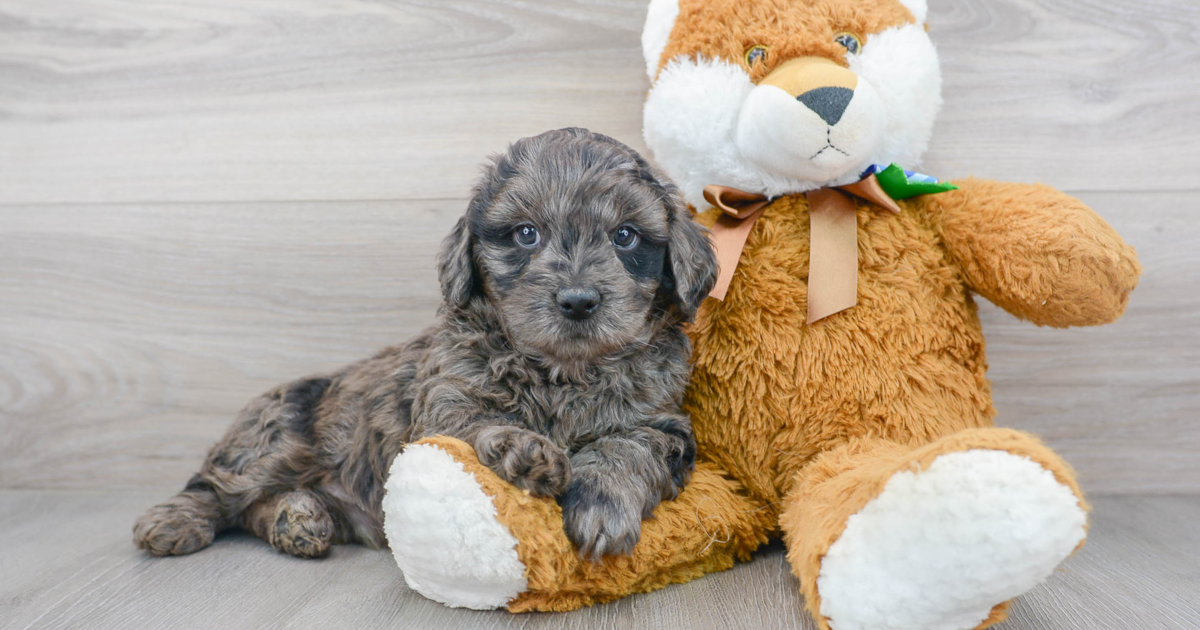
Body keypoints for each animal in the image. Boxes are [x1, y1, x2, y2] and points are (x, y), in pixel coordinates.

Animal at [133, 127, 710, 559]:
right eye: (526, 234)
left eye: (625, 237)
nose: (578, 300)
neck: (562, 371)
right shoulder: (445, 401)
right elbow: (474, 424)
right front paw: (520, 448)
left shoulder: (663, 421)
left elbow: (627, 446)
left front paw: (602, 504)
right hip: (276, 437)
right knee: (219, 486)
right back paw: (176, 520)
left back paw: (298, 519)